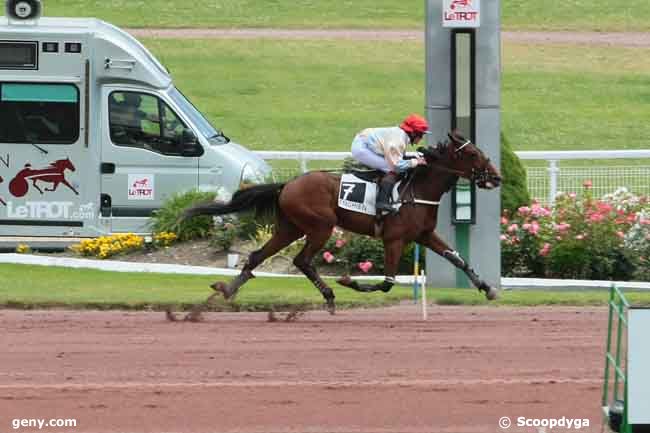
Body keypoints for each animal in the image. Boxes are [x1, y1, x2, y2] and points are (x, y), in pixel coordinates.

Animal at [182, 130, 502, 316]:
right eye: (472, 153)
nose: (497, 177)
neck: (417, 190)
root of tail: (288, 184)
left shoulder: (424, 235)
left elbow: (457, 258)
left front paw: (487, 288)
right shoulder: (394, 239)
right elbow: (387, 283)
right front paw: (349, 280)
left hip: (290, 228)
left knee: (259, 255)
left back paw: (229, 290)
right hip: (320, 226)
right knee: (302, 260)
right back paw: (329, 294)